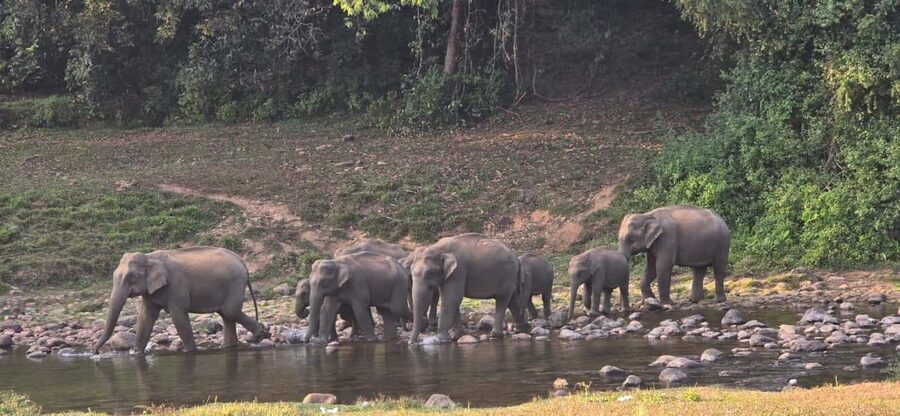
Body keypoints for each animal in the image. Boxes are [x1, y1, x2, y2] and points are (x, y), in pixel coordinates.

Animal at [93, 247, 269, 354]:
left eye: (132, 277)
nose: (95, 352)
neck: (150, 257)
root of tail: (242, 261)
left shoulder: (176, 285)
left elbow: (178, 315)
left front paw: (190, 351)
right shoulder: (151, 292)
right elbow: (145, 317)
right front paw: (136, 354)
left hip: (235, 282)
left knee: (229, 311)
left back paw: (262, 334)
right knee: (226, 314)